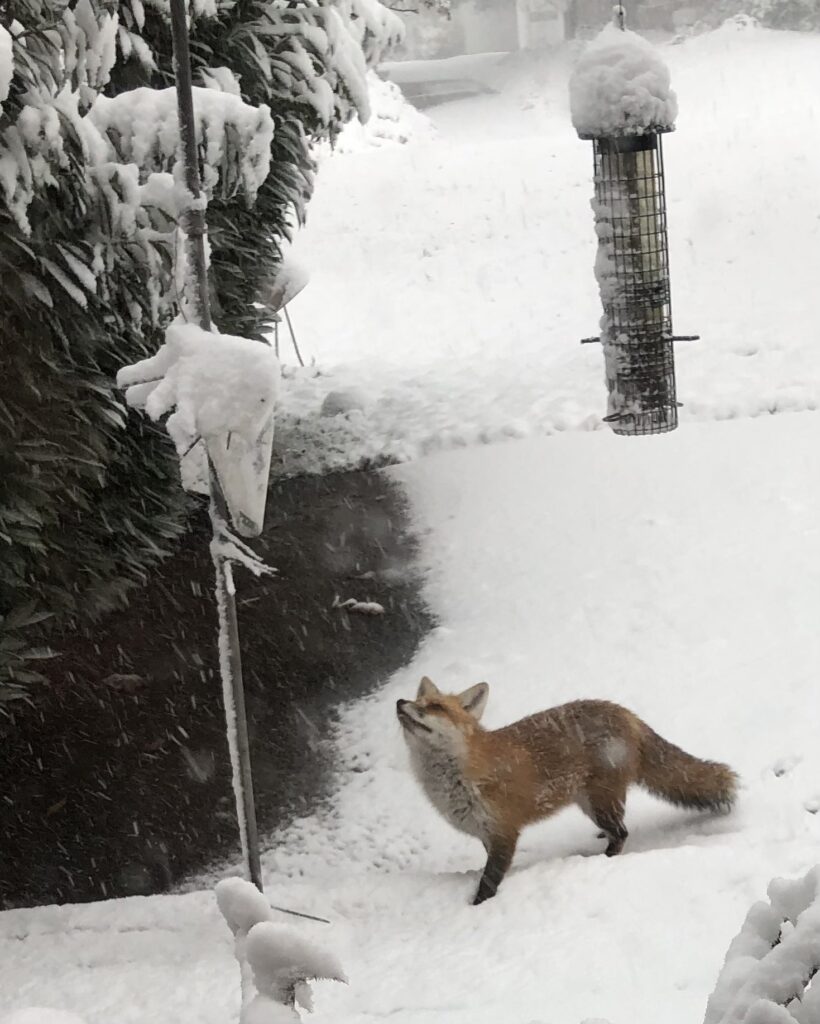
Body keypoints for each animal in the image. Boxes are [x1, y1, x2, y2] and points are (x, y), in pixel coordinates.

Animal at [397, 677, 738, 905]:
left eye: (435, 707)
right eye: (417, 700)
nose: (399, 703)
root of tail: (626, 714)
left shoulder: (505, 830)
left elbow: (489, 881)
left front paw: (478, 906)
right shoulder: (485, 833)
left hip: (598, 802)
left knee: (622, 833)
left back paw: (604, 860)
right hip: (595, 802)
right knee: (619, 827)